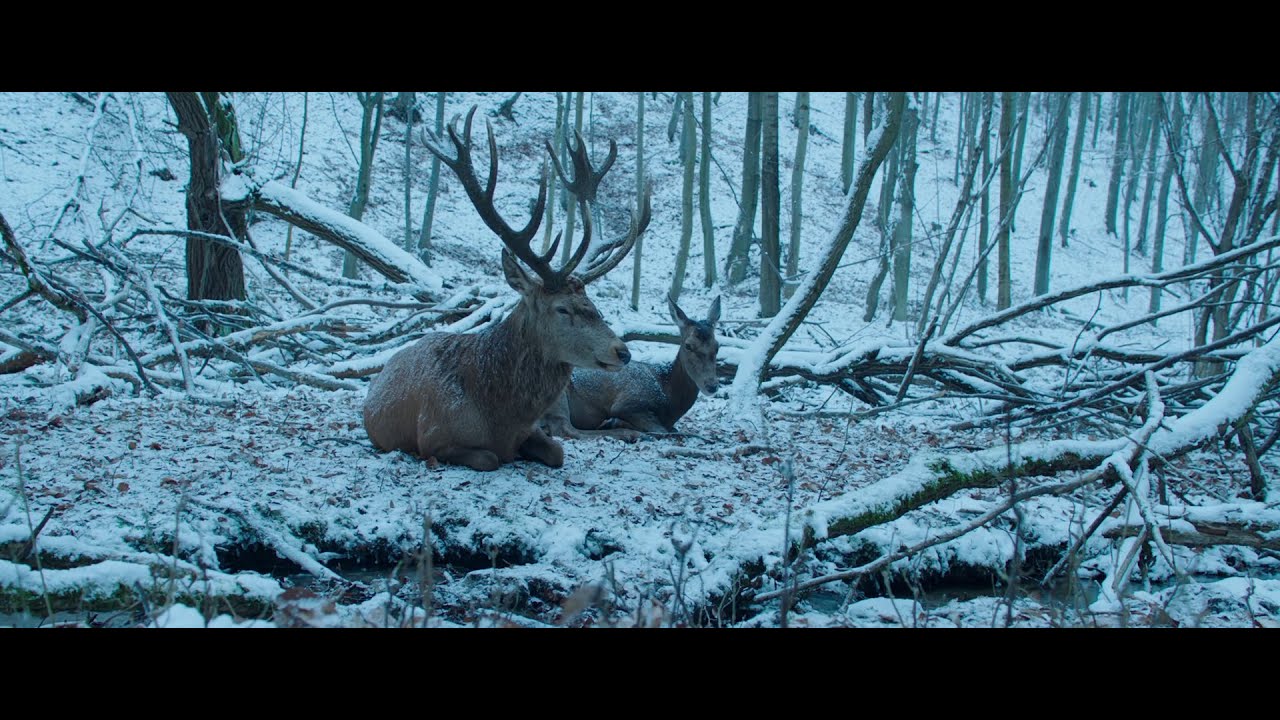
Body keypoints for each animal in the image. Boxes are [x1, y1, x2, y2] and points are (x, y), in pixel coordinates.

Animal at [362, 108, 650, 471]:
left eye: (593, 304)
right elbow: (489, 458)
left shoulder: (530, 430)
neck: (500, 416)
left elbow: (557, 452)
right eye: (562, 308)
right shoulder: (433, 436)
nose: (622, 351)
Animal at [541, 294, 720, 440]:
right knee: (564, 429)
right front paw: (617, 422)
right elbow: (662, 430)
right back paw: (629, 433)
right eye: (688, 346)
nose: (712, 385)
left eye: (717, 346)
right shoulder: (629, 401)